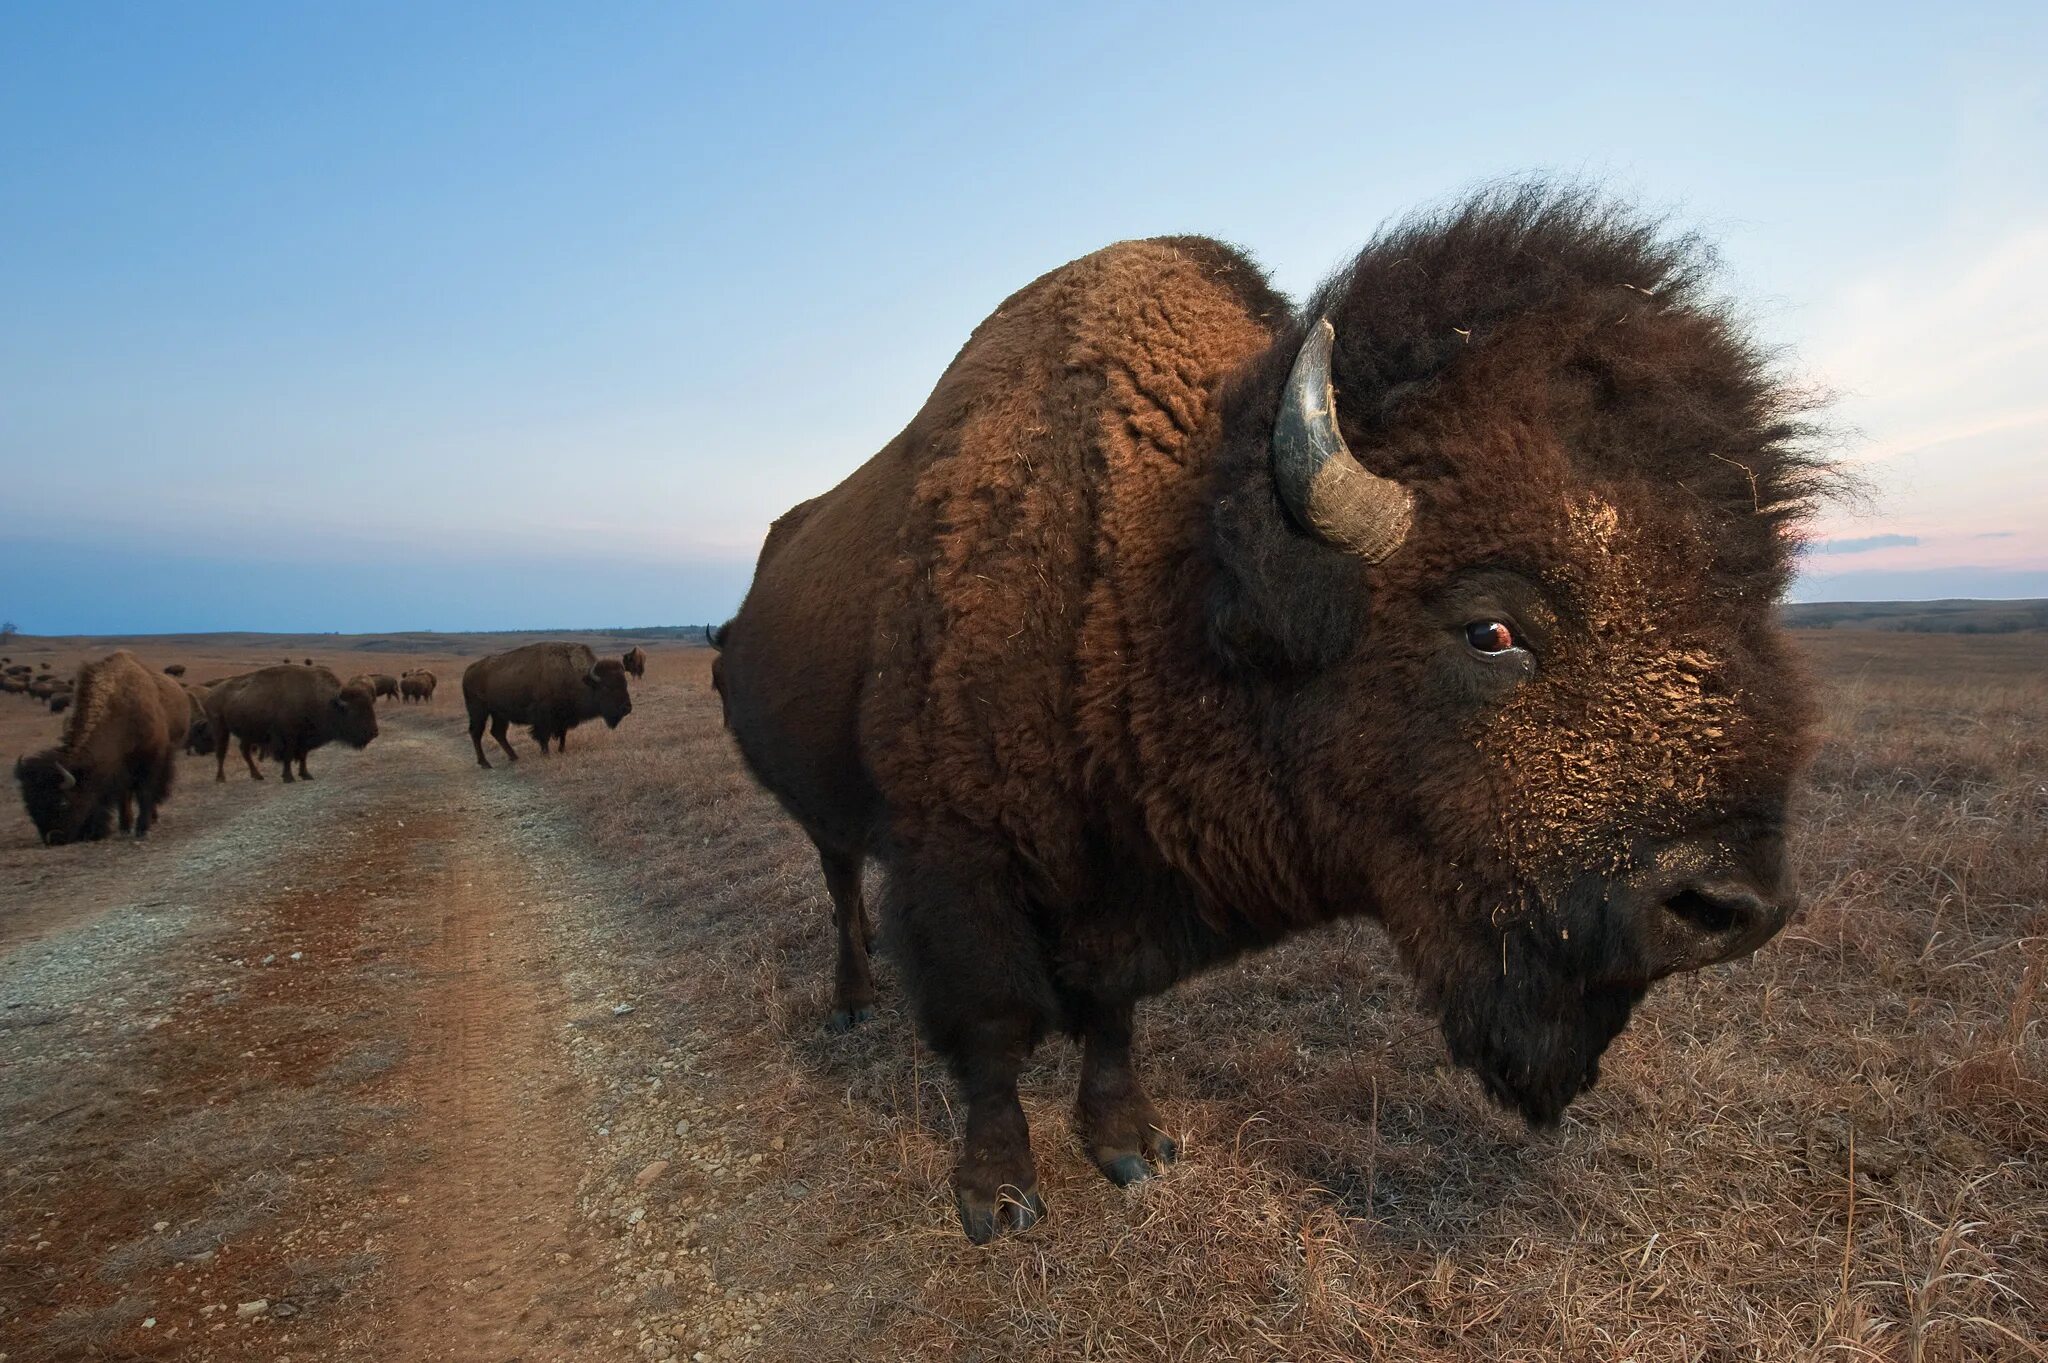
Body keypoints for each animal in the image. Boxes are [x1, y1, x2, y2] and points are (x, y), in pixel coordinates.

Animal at [16, 646, 190, 839]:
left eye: (62, 802)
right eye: (29, 805)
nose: (53, 838)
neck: (120, 712)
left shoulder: (150, 758)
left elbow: (144, 791)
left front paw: (141, 829)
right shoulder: (119, 767)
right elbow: (123, 794)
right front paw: (125, 826)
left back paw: (153, 817)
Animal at [205, 663, 378, 781]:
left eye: (370, 707)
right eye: (355, 712)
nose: (374, 732)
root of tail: (213, 692)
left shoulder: (304, 738)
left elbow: (303, 756)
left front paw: (306, 775)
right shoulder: (289, 737)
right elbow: (288, 756)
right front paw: (288, 777)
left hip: (247, 733)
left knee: (244, 751)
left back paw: (257, 775)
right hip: (220, 727)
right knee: (221, 752)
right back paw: (221, 778)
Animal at [464, 638, 630, 765]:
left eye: (625, 683)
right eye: (607, 687)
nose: (627, 708)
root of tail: (469, 670)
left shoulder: (563, 717)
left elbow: (563, 735)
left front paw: (561, 751)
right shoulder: (543, 717)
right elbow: (543, 736)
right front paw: (546, 754)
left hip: (499, 714)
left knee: (497, 732)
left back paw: (514, 757)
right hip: (478, 711)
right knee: (476, 732)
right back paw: (485, 763)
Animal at [712, 186, 1835, 1236]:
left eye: (1749, 599)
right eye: (1490, 628)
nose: (1730, 907)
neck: (1152, 571)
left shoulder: (1119, 885)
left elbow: (1109, 1010)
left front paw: (1129, 1146)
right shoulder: (957, 865)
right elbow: (990, 1030)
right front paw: (998, 1196)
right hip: (827, 813)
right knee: (840, 882)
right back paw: (853, 1003)